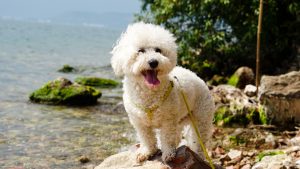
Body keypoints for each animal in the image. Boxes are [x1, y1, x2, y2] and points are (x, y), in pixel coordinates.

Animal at [111, 22, 214, 162]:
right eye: (140, 51)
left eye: (158, 50)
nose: (153, 62)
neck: (149, 94)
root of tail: (200, 79)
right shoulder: (140, 122)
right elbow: (147, 138)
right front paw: (147, 152)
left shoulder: (168, 121)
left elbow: (167, 137)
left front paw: (168, 154)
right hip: (180, 120)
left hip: (201, 117)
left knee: (199, 139)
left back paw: (199, 154)